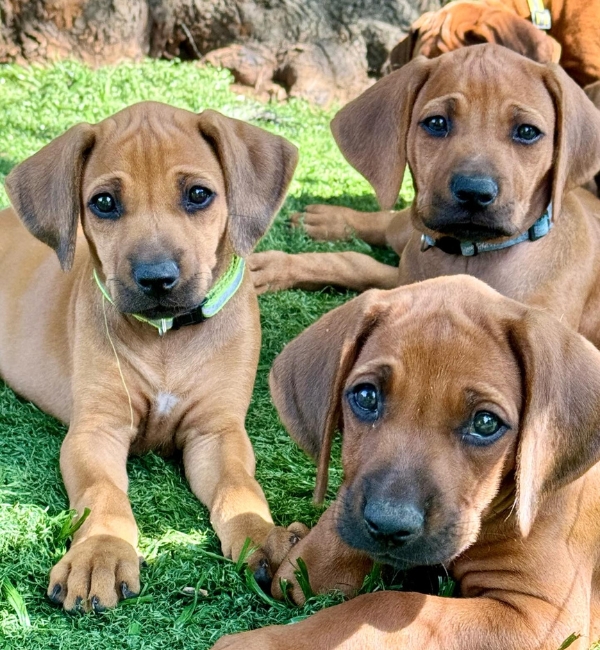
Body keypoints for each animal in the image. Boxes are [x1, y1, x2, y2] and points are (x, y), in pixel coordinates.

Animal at [0, 100, 302, 608]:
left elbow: (239, 488)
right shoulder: (95, 431)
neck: (165, 340)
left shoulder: (216, 433)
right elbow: (103, 493)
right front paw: (100, 552)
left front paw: (265, 538)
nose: (156, 278)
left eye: (199, 194)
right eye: (104, 202)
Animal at [212, 274, 600, 648]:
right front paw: (288, 548)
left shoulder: (542, 615)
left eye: (486, 423)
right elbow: (306, 570)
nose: (388, 526)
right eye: (366, 397)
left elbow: (388, 603)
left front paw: (265, 642)